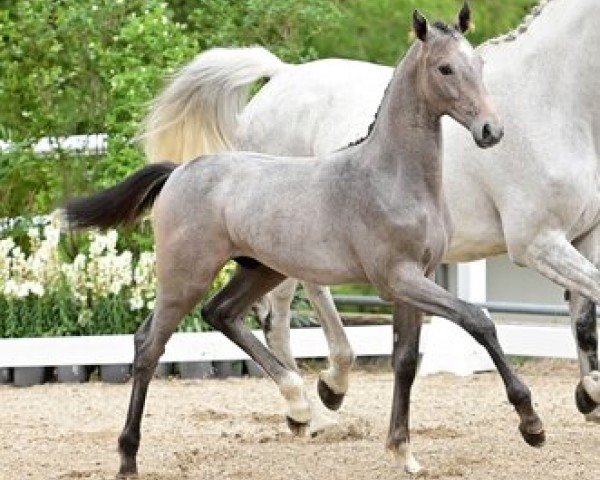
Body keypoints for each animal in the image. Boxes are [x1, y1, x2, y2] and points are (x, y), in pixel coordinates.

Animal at [142, 0, 600, 420]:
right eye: (446, 70)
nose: (491, 131)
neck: (550, 104)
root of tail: (281, 75)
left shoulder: (583, 236)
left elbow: (584, 317)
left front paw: (590, 394)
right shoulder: (537, 243)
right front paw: (587, 394)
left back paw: (320, 394)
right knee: (285, 310)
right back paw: (314, 404)